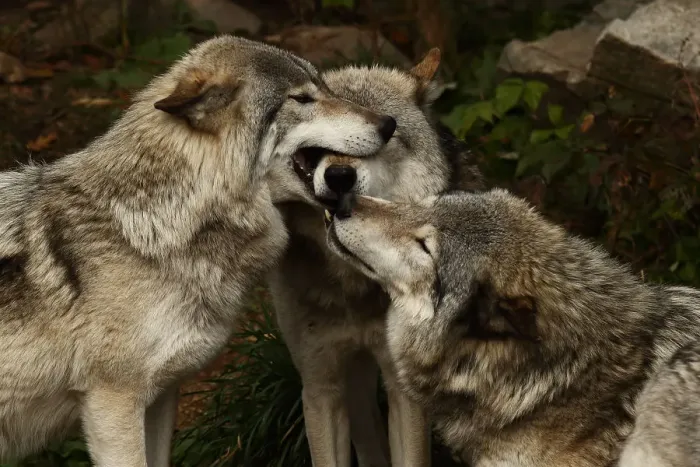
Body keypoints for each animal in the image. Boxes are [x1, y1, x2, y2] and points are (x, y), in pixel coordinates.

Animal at [0, 35, 396, 467]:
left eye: (323, 86)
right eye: (302, 98)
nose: (388, 124)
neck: (155, 226)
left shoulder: (160, 397)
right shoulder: (113, 403)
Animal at [267, 49, 485, 467]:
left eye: (386, 133)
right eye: (315, 146)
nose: (339, 177)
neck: (353, 280)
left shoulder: (404, 390)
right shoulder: (320, 387)